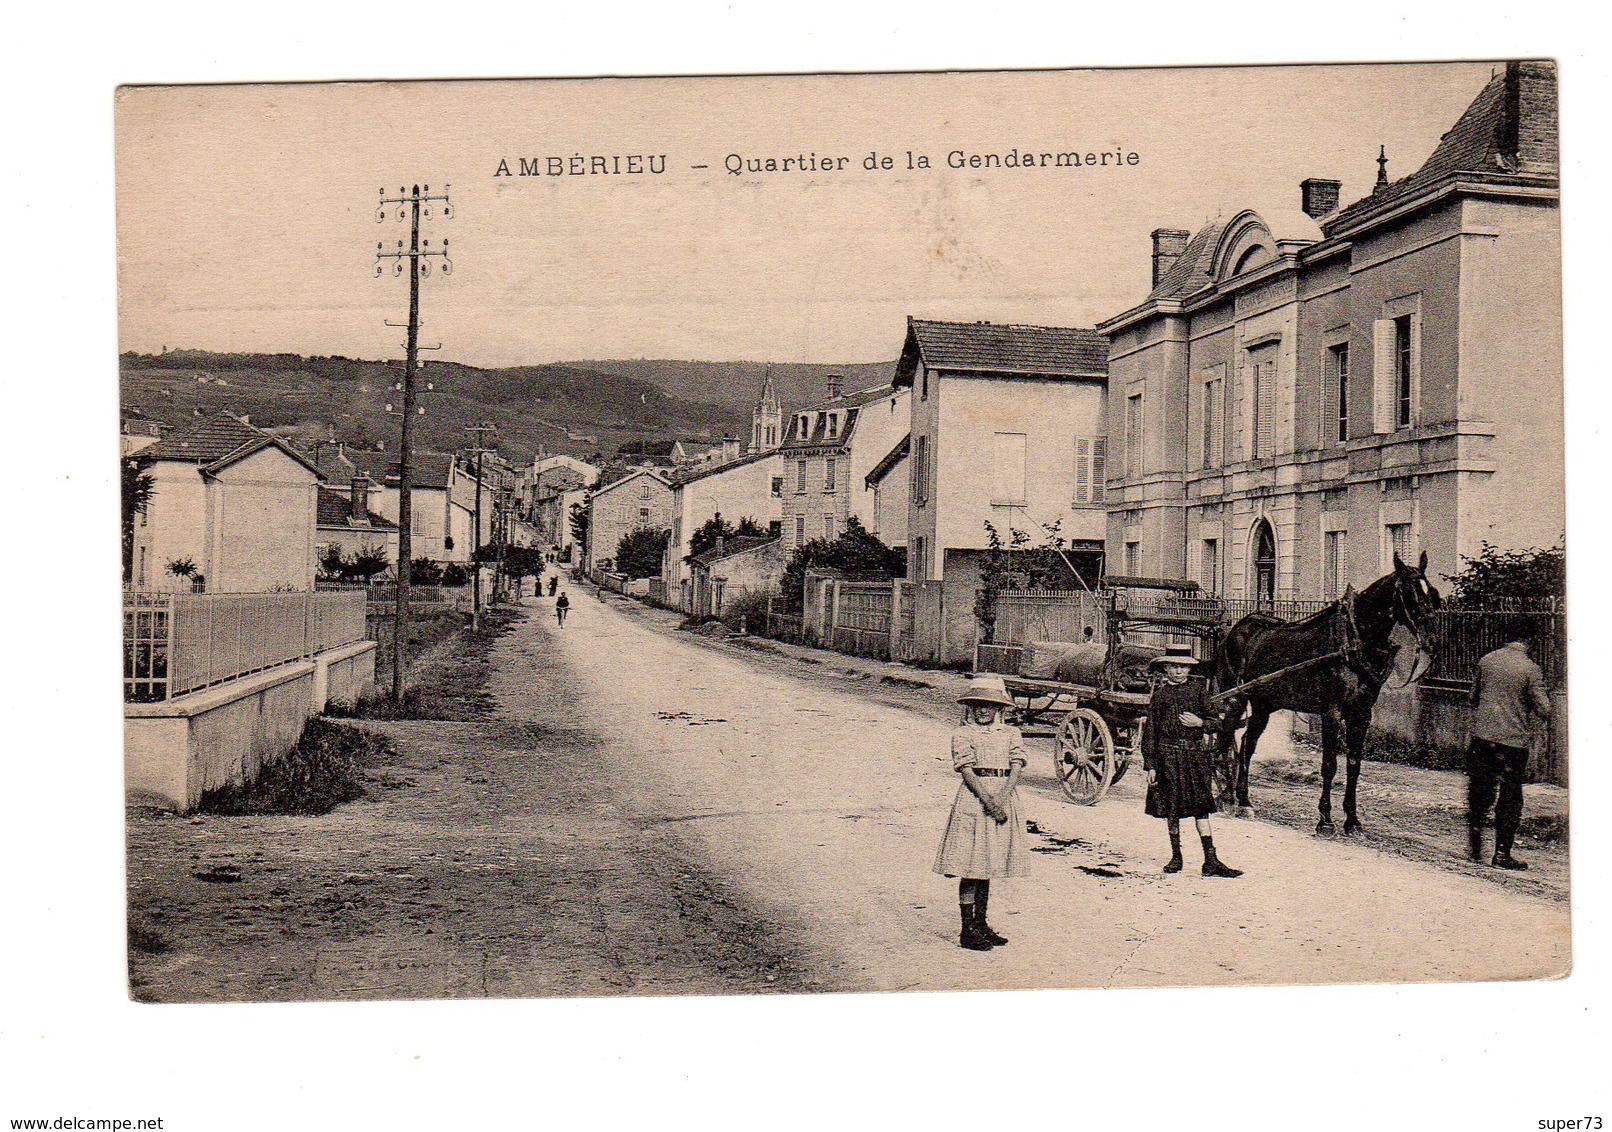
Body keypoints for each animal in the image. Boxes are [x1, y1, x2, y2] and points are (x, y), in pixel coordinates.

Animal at [1212, 554, 1444, 838]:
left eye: (1432, 593)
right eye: (1409, 593)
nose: (1433, 641)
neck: (1353, 640)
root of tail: (1242, 625)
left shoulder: (1361, 714)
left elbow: (1354, 765)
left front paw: (1352, 820)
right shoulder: (1331, 712)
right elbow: (1330, 765)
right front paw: (1325, 820)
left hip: (1264, 703)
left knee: (1247, 743)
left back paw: (1243, 799)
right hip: (1235, 696)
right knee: (1225, 735)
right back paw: (1225, 794)